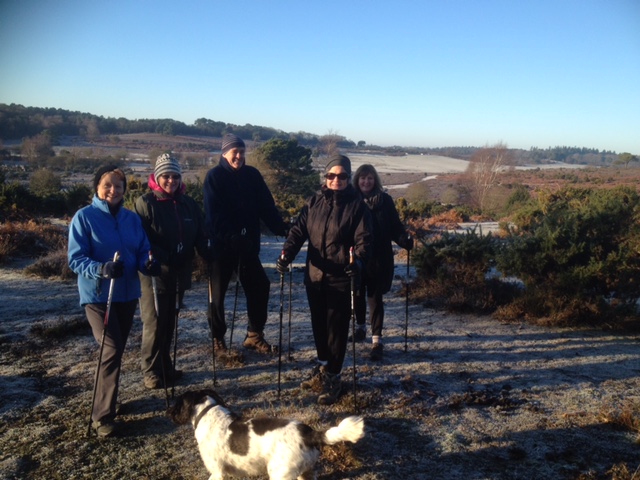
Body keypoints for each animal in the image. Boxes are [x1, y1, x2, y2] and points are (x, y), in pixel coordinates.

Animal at [168, 390, 364, 480]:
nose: (169, 413)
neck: (209, 413)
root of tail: (310, 434)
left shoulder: (217, 472)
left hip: (280, 474)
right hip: (305, 473)